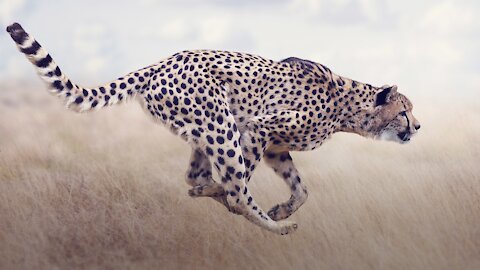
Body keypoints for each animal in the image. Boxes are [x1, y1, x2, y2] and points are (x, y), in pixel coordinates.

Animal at [7, 23, 420, 234]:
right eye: (404, 111)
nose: (417, 126)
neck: (348, 107)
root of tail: (159, 63)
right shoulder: (258, 128)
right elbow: (242, 181)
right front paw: (273, 214)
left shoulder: (276, 146)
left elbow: (301, 189)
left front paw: (282, 208)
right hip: (222, 126)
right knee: (231, 186)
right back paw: (270, 225)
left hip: (202, 130)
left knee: (193, 177)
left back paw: (217, 195)